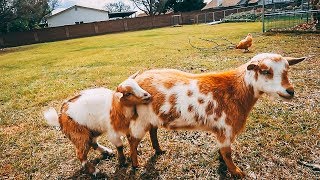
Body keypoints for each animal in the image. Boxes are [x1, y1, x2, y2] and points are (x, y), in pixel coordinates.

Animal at [126, 53, 306, 177]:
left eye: (287, 70)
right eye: (265, 71)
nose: (290, 91)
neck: (236, 89)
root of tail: (132, 83)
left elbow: (223, 151)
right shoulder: (225, 129)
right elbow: (227, 153)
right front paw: (236, 172)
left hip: (152, 118)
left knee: (153, 131)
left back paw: (158, 150)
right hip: (140, 120)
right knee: (132, 140)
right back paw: (135, 164)